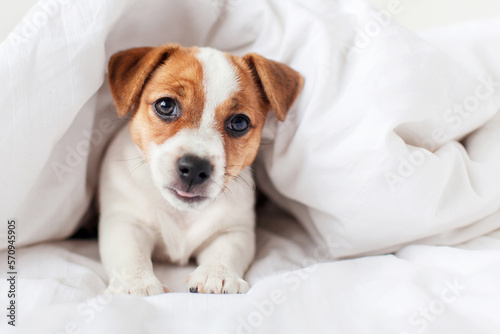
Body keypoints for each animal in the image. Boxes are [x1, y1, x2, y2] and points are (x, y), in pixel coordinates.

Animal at [97, 43, 300, 294]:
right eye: (165, 106)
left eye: (239, 123)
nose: (194, 168)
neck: (182, 214)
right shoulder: (124, 222)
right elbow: (130, 255)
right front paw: (136, 284)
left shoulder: (233, 230)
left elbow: (226, 252)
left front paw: (217, 274)